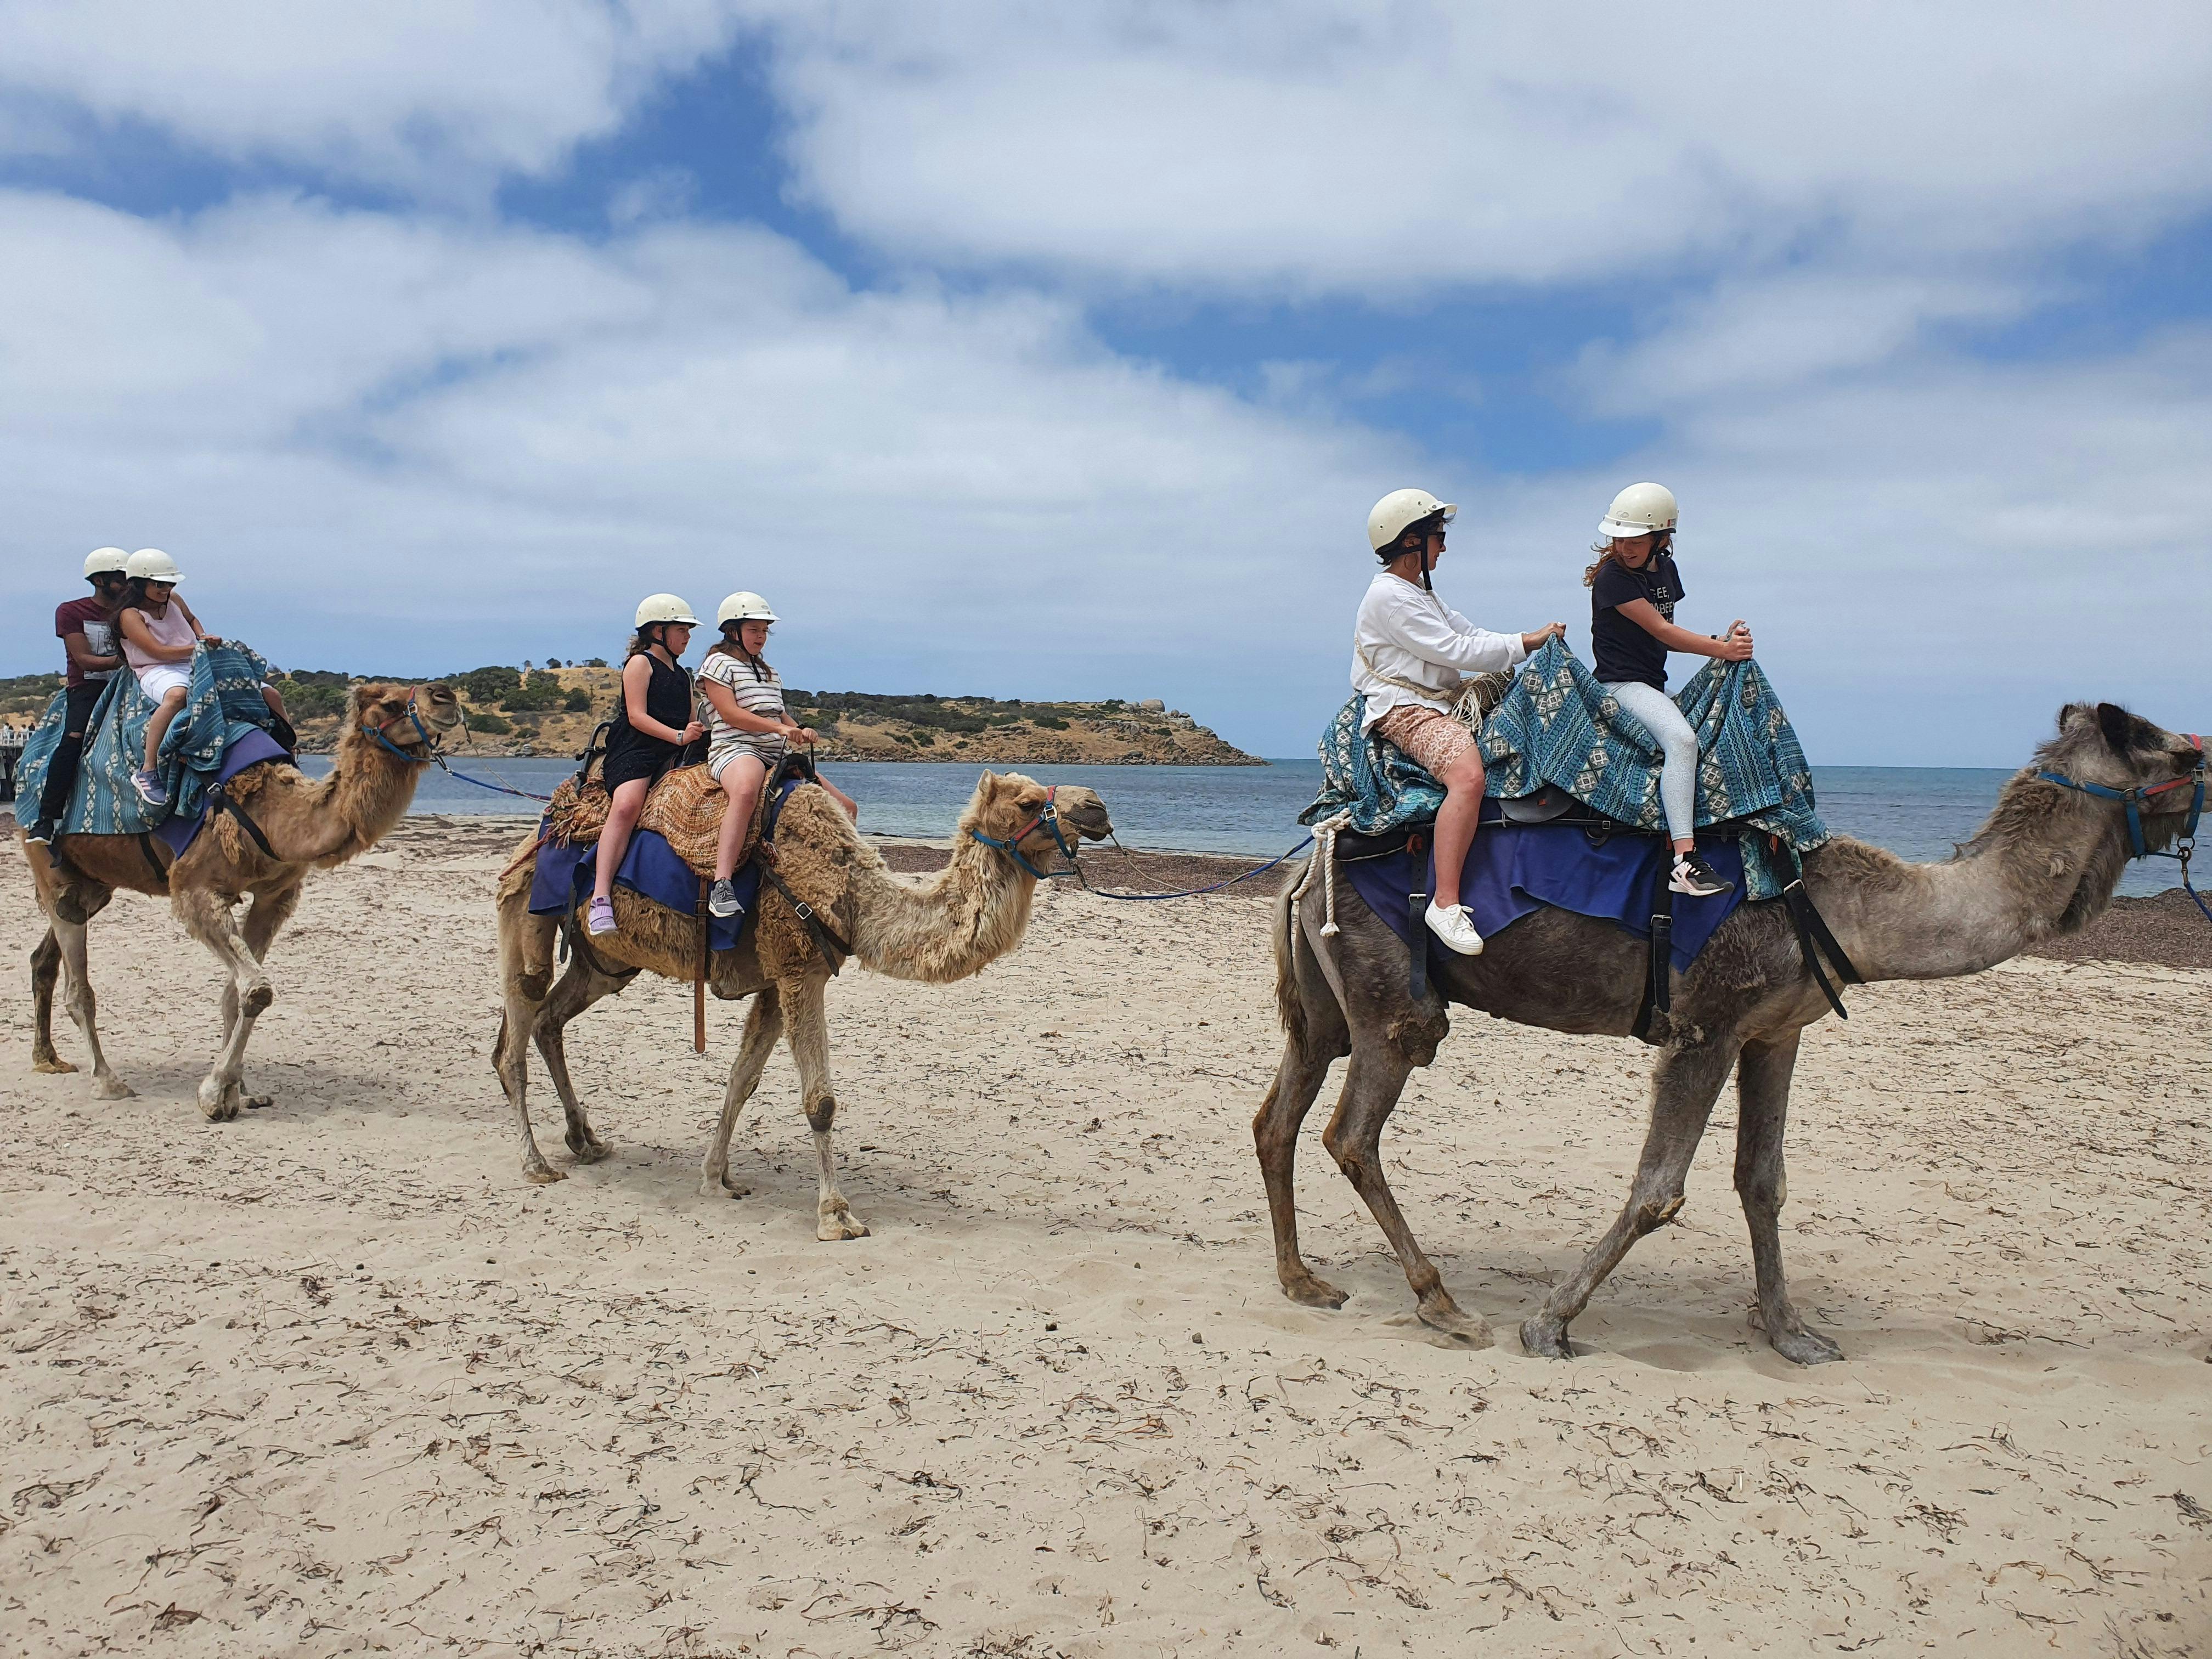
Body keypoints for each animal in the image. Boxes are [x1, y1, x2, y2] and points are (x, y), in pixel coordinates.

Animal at [22, 683, 465, 1118]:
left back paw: (48, 1059)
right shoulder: (195, 888)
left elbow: (235, 995)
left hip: (95, 883)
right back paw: (107, 1082)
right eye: (389, 703)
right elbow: (257, 989)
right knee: (78, 983)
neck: (272, 817)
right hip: (49, 864)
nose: (446, 697)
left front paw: (242, 1093)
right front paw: (213, 1094)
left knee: (47, 955)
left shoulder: (276, 895)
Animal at [491, 771, 1113, 1236]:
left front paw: (716, 1178)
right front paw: (836, 1216)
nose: (1099, 806)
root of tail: (541, 829)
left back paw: (586, 1141)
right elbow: (821, 1102)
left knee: (547, 1022)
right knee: (516, 1035)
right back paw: (536, 1164)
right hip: (527, 909)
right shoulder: (798, 969)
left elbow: (742, 1079)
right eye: (1028, 801)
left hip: (606, 963)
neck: (853, 898)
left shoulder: (774, 981)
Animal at [1256, 701, 2204, 1364]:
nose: (2207, 760)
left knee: (1279, 1117)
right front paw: (1550, 1324)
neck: (1837, 907)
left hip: (1326, 1004)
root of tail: (1307, 867)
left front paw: (1793, 1334)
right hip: (1390, 996)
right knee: (1353, 1130)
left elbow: (1764, 1182)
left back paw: (1303, 1281)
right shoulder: (1705, 1026)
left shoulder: (1774, 1033)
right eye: (2171, 747)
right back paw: (1441, 1302)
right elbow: (1659, 1189)